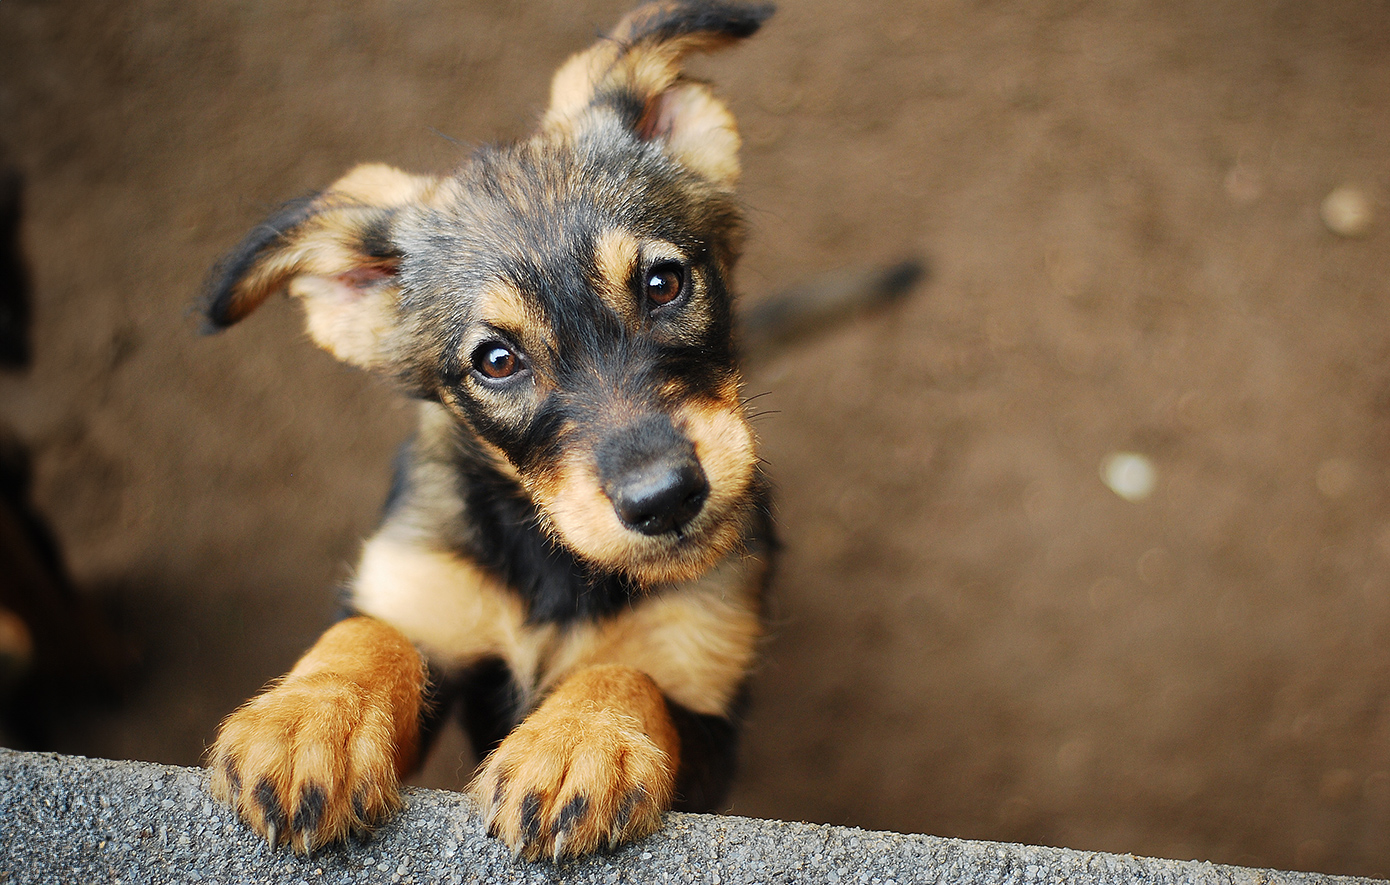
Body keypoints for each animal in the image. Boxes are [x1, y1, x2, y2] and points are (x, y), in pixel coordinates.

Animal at [209, 0, 789, 855]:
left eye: (664, 282)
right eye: (495, 360)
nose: (665, 498)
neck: (557, 567)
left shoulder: (709, 711)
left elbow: (628, 671)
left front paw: (578, 741)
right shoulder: (424, 590)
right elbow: (371, 633)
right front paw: (310, 719)